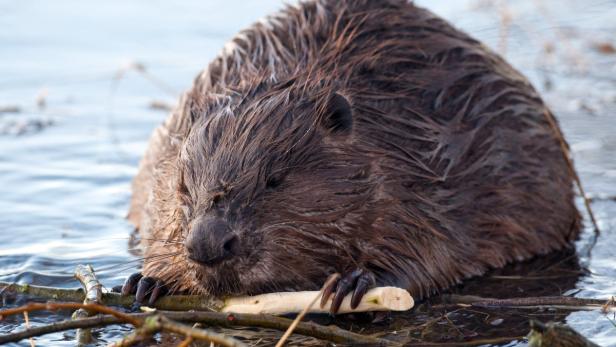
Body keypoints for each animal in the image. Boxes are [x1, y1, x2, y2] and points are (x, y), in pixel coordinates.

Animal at [121, 0, 584, 316]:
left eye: (274, 179)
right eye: (184, 185)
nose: (208, 244)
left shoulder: (428, 171)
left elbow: (432, 250)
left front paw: (355, 281)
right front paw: (148, 280)